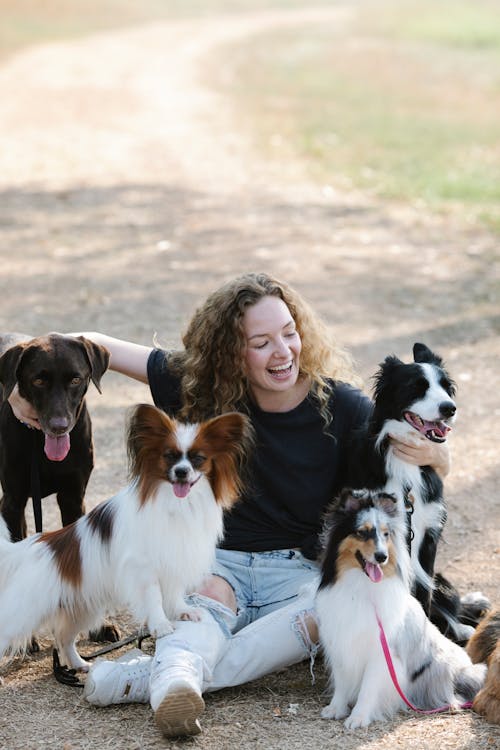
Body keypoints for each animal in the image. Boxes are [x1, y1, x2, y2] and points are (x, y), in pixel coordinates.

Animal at [0, 408, 252, 672]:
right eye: (169, 456)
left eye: (198, 458)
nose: (181, 472)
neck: (175, 503)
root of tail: (25, 551)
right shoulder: (144, 568)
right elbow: (154, 597)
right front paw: (161, 625)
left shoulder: (173, 558)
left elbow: (174, 593)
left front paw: (182, 611)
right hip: (23, 614)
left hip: (82, 608)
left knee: (64, 637)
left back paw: (81, 665)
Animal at [316, 490, 484, 732]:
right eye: (362, 532)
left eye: (386, 534)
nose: (381, 556)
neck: (361, 588)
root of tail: (465, 670)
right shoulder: (340, 641)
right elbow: (342, 681)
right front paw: (336, 708)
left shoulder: (381, 652)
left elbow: (368, 688)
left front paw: (359, 717)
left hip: (438, 668)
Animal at [348, 344, 488, 644]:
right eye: (416, 387)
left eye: (446, 387)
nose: (450, 408)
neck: (406, 464)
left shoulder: (427, 538)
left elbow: (424, 593)